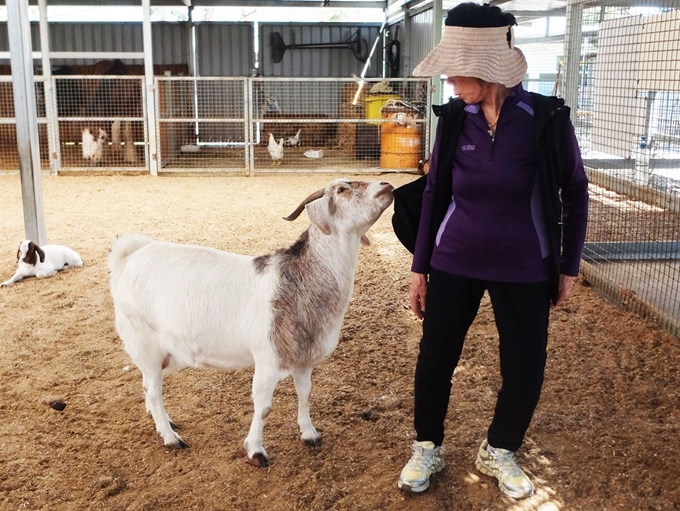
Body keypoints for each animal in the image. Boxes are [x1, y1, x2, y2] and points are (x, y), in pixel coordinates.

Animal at [106, 180, 394, 468]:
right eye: (342, 190)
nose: (387, 186)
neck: (301, 282)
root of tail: (127, 258)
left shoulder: (303, 359)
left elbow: (305, 393)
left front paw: (309, 434)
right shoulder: (267, 360)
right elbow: (264, 407)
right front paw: (256, 451)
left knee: (148, 385)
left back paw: (162, 422)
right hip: (144, 343)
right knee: (153, 389)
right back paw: (170, 437)